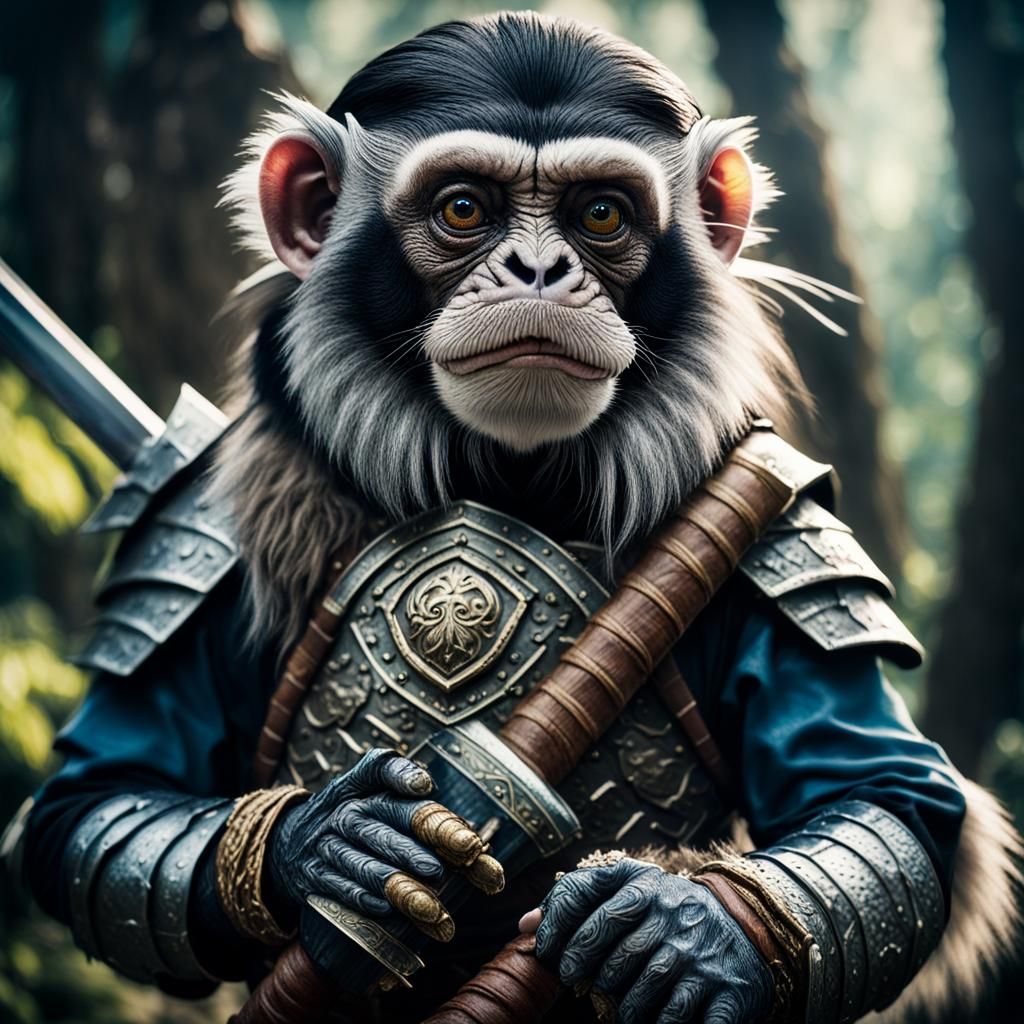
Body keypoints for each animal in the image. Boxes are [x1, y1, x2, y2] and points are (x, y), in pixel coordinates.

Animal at [19, 13, 1019, 1024]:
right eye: (464, 209)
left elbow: (889, 801)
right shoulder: (196, 541)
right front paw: (327, 842)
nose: (537, 268)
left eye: (602, 215)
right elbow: (98, 802)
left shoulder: (795, 551)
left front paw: (685, 932)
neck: (511, 473)